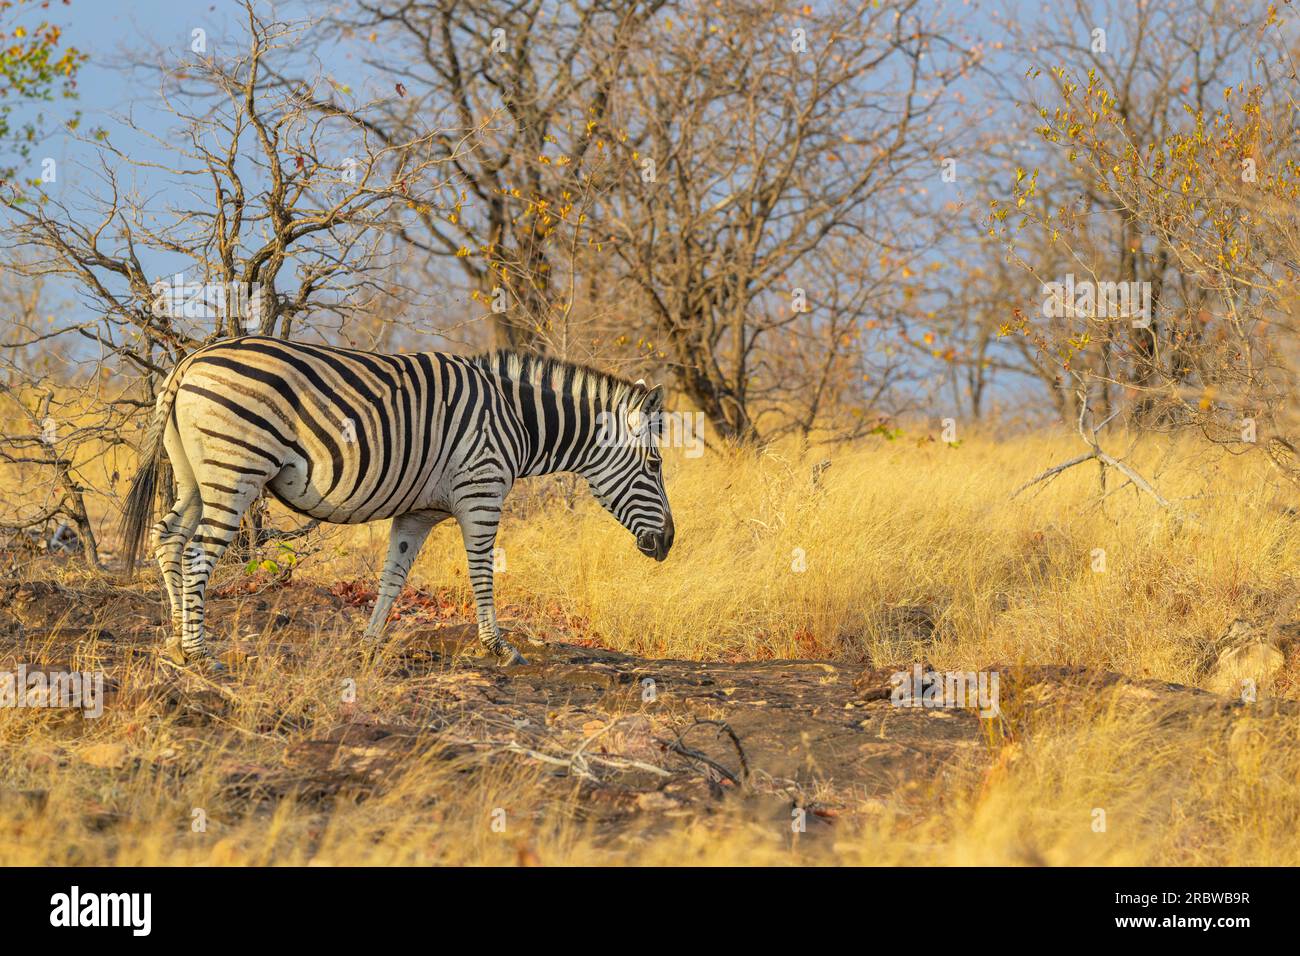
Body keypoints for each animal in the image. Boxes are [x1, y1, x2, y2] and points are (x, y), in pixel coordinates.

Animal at [120, 335, 674, 669]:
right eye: (654, 464)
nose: (669, 543)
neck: (515, 418)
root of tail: (189, 360)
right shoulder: (482, 490)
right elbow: (482, 572)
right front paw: (498, 647)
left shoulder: (417, 513)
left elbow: (393, 577)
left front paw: (368, 645)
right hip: (236, 467)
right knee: (198, 552)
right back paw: (200, 653)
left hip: (195, 475)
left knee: (169, 538)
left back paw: (176, 639)